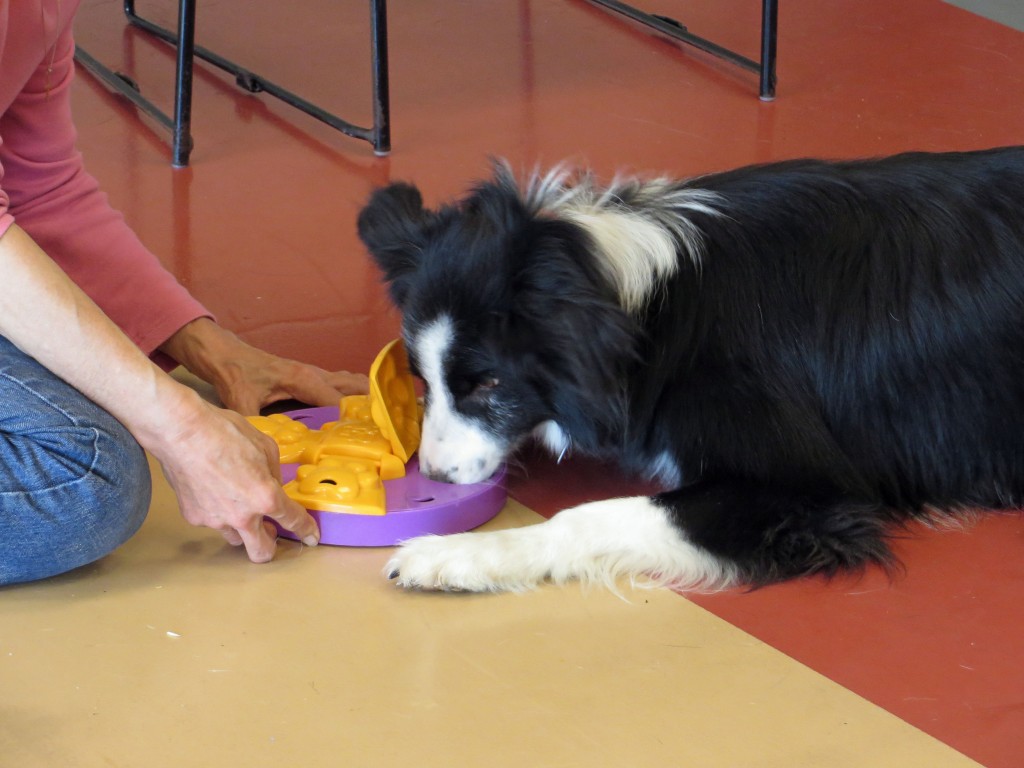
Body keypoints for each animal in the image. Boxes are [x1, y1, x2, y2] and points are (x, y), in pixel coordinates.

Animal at [358, 148, 1024, 593]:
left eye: (489, 384)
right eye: (422, 380)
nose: (434, 478)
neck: (651, 308)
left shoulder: (811, 492)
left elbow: (591, 514)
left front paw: (457, 554)